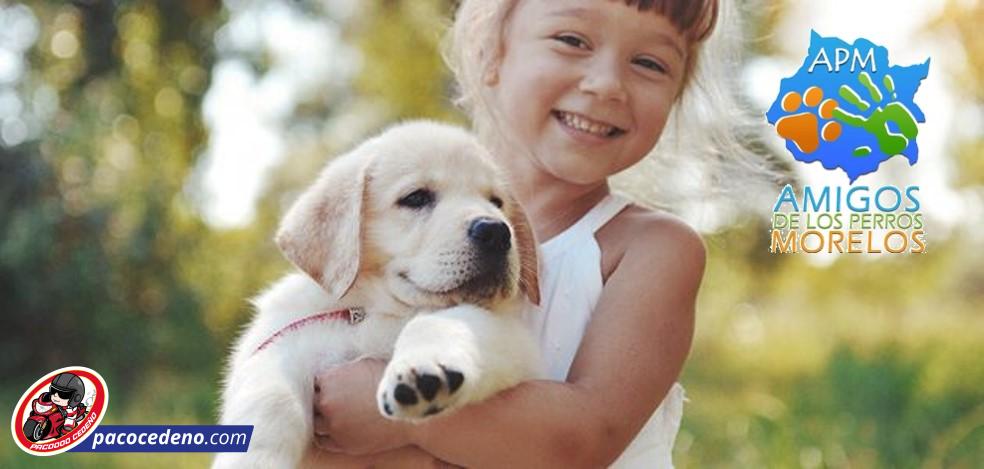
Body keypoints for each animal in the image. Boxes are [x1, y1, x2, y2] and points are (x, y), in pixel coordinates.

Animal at [211, 121, 540, 468]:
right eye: (416, 197)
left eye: (497, 202)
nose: (496, 231)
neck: (379, 309)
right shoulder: (287, 340)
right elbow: (271, 395)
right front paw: (253, 460)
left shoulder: (514, 340)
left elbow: (441, 321)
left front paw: (425, 368)